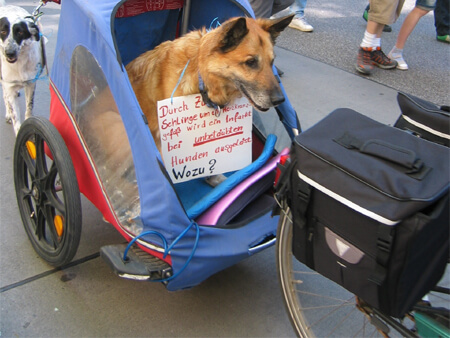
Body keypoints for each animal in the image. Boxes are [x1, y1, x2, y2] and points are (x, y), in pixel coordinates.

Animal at [0, 4, 44, 135]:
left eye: (20, 32)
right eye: (2, 31)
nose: (9, 53)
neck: (19, 65)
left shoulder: (30, 84)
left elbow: (29, 107)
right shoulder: (9, 86)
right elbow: (15, 117)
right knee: (5, 95)